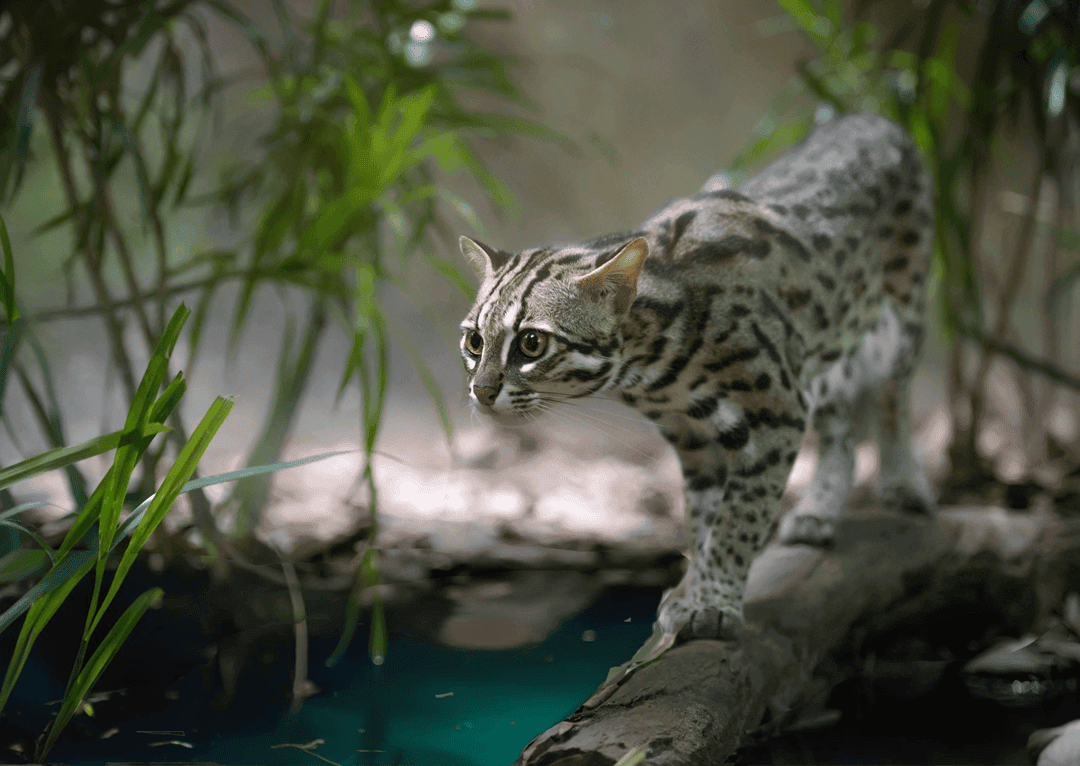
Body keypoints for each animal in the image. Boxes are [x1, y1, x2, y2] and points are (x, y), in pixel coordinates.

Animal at [455, 113, 937, 648]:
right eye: (474, 342)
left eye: (531, 344)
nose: (481, 392)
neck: (655, 372)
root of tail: (868, 116)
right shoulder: (695, 437)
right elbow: (704, 521)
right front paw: (693, 595)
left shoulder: (778, 412)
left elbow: (738, 520)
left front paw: (716, 604)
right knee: (841, 430)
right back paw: (820, 510)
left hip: (902, 314)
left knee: (893, 396)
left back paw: (902, 481)